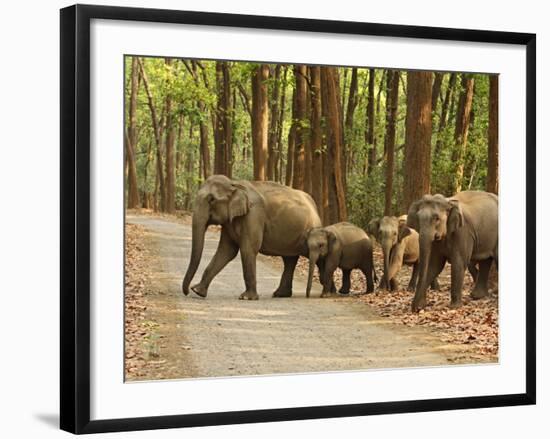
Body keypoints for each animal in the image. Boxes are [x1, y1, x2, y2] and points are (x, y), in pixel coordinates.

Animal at [182, 174, 324, 300]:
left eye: (211, 199)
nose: (186, 292)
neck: (234, 183)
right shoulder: (229, 222)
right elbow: (226, 251)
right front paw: (198, 291)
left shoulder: (254, 215)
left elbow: (248, 249)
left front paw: (246, 297)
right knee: (289, 260)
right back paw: (280, 294)